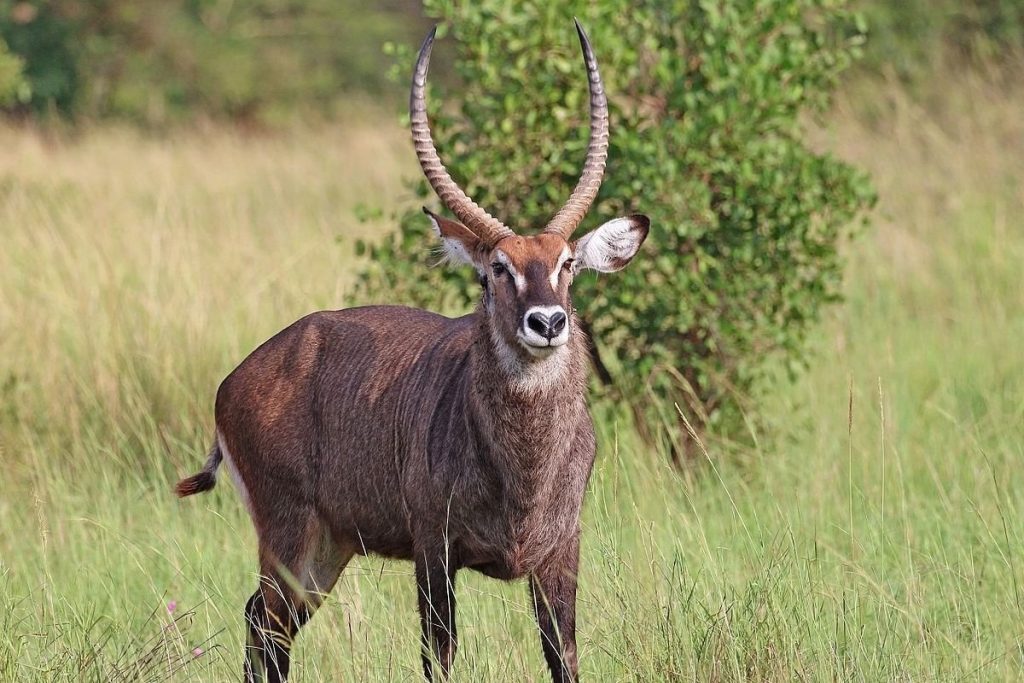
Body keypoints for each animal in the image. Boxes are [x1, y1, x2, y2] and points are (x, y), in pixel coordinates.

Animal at [175, 20, 647, 683]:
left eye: (568, 264)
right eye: (495, 269)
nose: (548, 322)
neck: (522, 468)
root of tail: (238, 376)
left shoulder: (560, 554)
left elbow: (565, 658)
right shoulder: (434, 549)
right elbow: (439, 657)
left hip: (327, 549)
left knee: (264, 625)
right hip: (287, 535)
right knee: (266, 627)